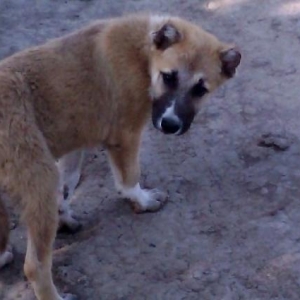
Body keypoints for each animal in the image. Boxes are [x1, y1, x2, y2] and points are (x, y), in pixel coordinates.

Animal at [0, 12, 241, 298]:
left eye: (200, 90)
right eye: (169, 77)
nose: (170, 125)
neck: (144, 52)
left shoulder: (76, 142)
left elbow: (67, 185)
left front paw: (64, 216)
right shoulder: (125, 135)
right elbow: (128, 179)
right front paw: (143, 200)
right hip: (39, 178)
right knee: (34, 266)